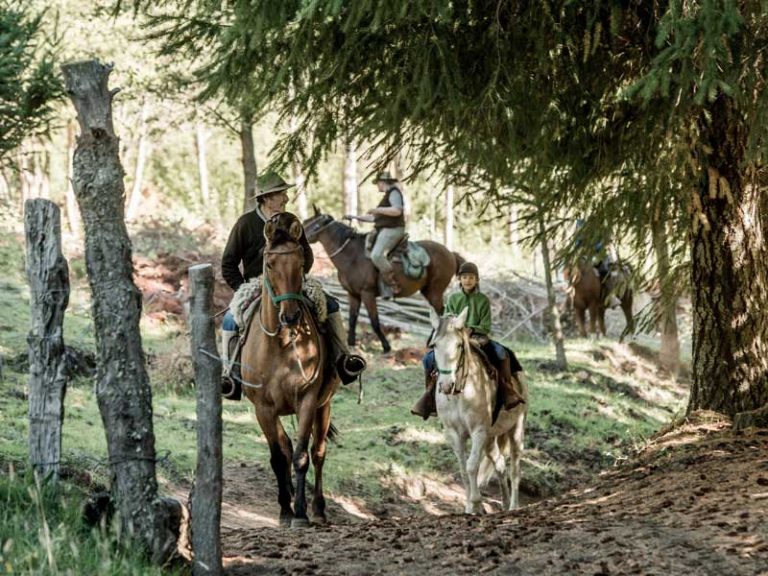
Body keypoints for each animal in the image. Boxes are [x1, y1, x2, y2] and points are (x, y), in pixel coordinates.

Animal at [240, 212, 336, 528]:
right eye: (269, 264)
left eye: (300, 263)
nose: (291, 316)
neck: (280, 345)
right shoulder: (263, 408)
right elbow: (278, 456)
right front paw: (285, 510)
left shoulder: (307, 400)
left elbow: (301, 457)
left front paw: (302, 513)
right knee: (285, 445)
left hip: (324, 405)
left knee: (318, 452)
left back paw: (318, 509)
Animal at [304, 207, 462, 352]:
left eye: (309, 223)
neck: (352, 257)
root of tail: (450, 254)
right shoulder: (353, 294)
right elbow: (352, 319)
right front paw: (350, 344)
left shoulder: (367, 294)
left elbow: (374, 321)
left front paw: (386, 346)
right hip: (428, 291)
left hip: (435, 291)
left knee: (440, 315)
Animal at [428, 308, 532, 510]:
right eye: (435, 345)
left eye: (459, 345)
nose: (446, 385)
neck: (460, 394)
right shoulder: (454, 433)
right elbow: (462, 468)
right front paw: (469, 506)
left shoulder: (478, 431)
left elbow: (471, 465)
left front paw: (476, 503)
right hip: (490, 439)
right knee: (499, 463)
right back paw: (505, 503)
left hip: (516, 429)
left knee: (515, 469)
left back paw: (513, 506)